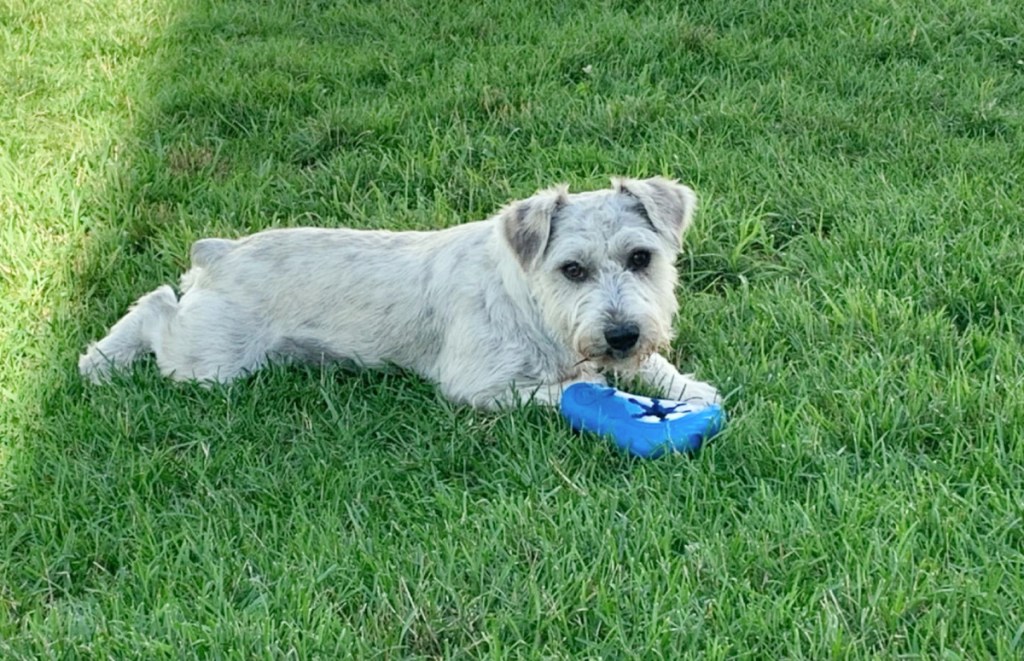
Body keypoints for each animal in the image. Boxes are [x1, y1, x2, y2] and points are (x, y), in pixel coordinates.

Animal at [79, 179, 720, 411]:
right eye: (572, 269)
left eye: (641, 258)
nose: (622, 334)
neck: (532, 303)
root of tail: (222, 251)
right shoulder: (481, 385)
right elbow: (572, 386)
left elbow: (653, 369)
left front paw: (689, 388)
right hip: (208, 361)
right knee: (156, 306)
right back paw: (100, 361)